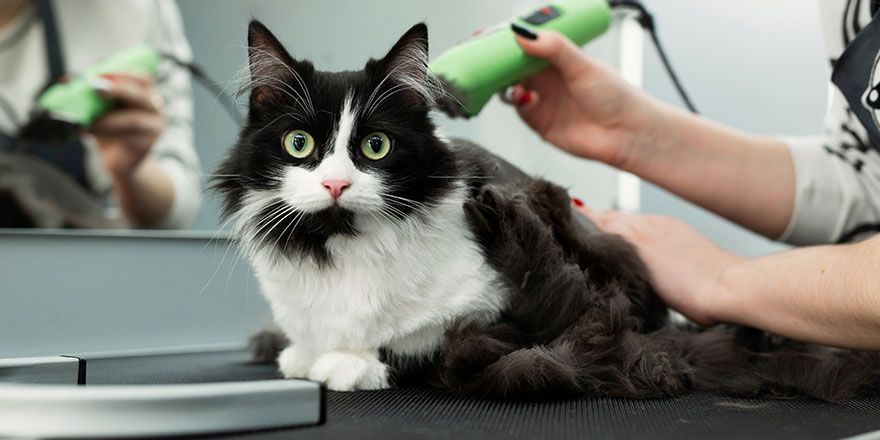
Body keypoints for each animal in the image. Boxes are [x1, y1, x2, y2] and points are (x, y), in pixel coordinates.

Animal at [215, 19, 880, 398]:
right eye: (299, 145)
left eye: (375, 146)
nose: (334, 186)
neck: (339, 244)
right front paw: (303, 354)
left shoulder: (489, 315)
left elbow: (425, 350)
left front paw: (346, 365)